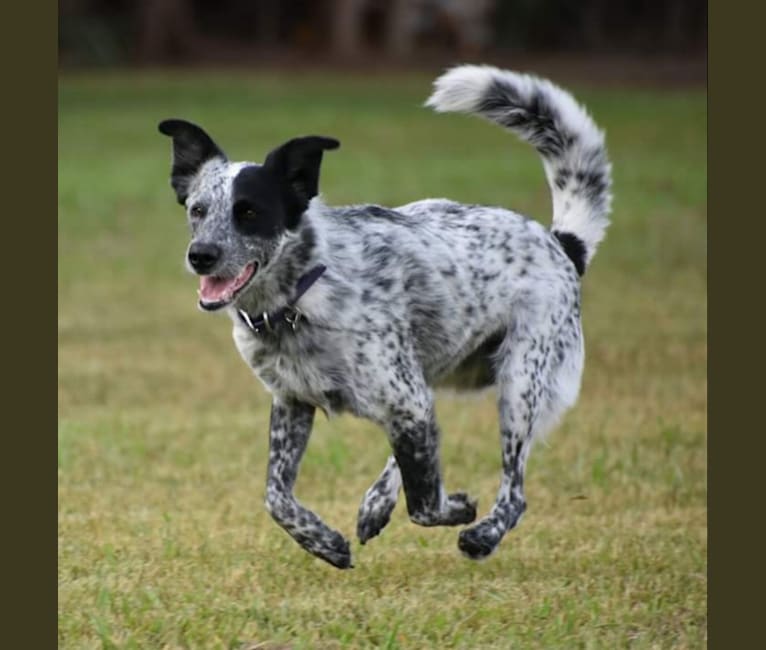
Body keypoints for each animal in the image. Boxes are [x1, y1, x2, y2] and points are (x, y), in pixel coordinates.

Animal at [159, 63, 616, 564]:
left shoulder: (406, 402)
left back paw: (482, 535)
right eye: (198, 210)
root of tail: (561, 243)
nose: (200, 255)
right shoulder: (294, 401)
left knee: (513, 492)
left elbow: (427, 505)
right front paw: (323, 542)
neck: (300, 300)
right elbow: (276, 496)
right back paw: (377, 504)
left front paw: (458, 508)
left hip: (519, 385)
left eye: (248, 212)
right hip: (439, 378)